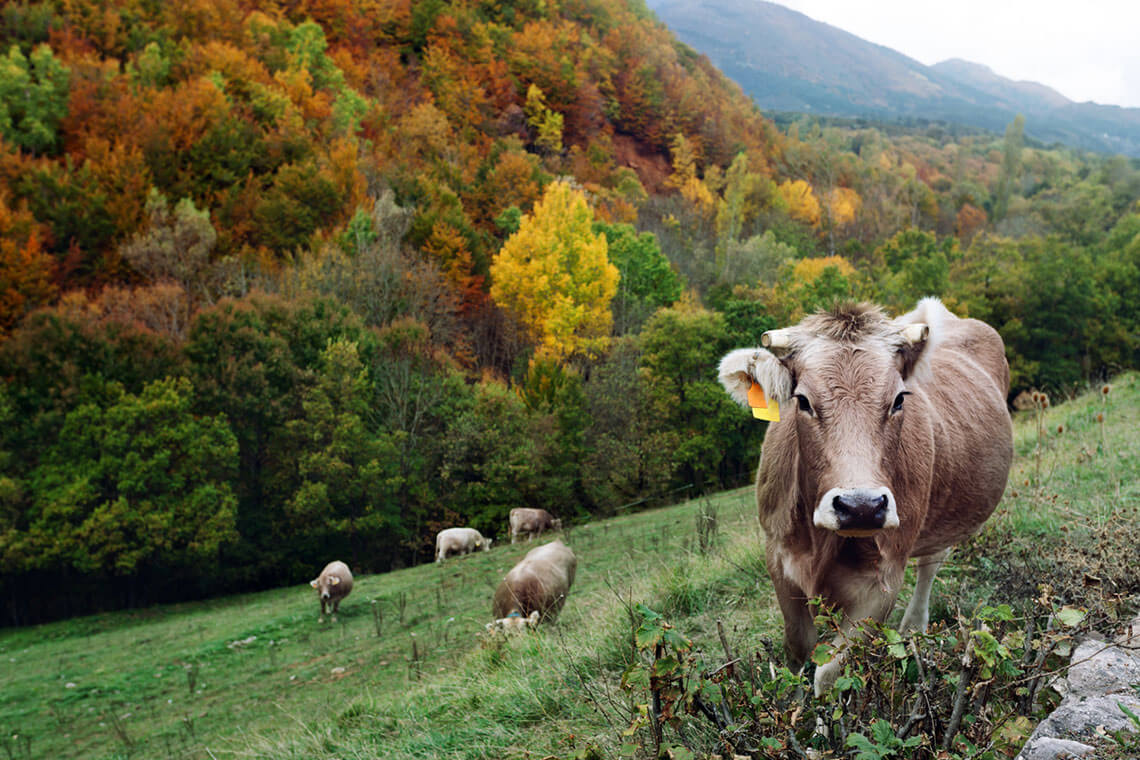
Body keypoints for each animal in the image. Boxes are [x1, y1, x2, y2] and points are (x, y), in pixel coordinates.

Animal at [715, 296, 1012, 697]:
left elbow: (828, 673)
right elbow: (796, 649)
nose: (861, 507)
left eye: (899, 399)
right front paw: (794, 707)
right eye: (802, 401)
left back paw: (913, 627)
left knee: (930, 564)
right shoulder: (777, 555)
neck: (820, 543)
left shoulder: (884, 577)